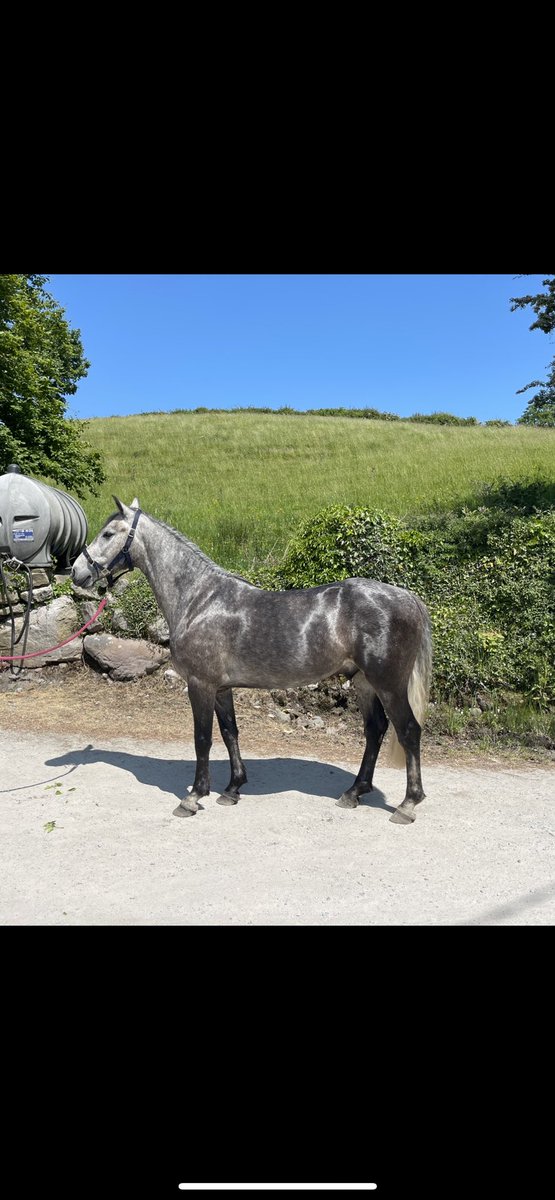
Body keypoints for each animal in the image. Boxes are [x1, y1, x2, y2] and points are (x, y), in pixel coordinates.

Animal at [72, 498, 432, 824]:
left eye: (108, 533)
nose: (76, 571)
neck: (199, 599)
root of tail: (408, 597)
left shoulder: (200, 685)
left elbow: (202, 739)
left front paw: (193, 797)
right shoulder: (220, 688)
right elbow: (230, 732)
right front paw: (232, 789)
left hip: (389, 683)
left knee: (409, 731)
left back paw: (407, 805)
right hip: (364, 682)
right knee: (375, 730)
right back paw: (354, 792)